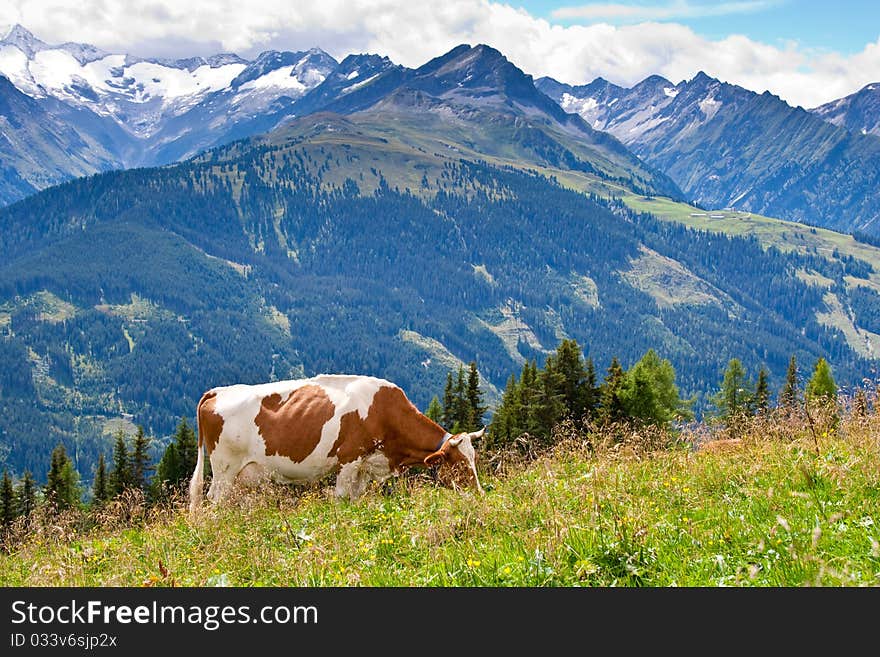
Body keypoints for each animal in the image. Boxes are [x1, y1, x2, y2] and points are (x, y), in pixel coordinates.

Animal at [188, 374, 484, 508]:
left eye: (475, 459)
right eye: (459, 464)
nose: (480, 494)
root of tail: (218, 391)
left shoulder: (364, 467)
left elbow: (355, 499)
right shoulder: (348, 461)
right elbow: (341, 498)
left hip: (242, 475)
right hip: (224, 468)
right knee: (214, 500)